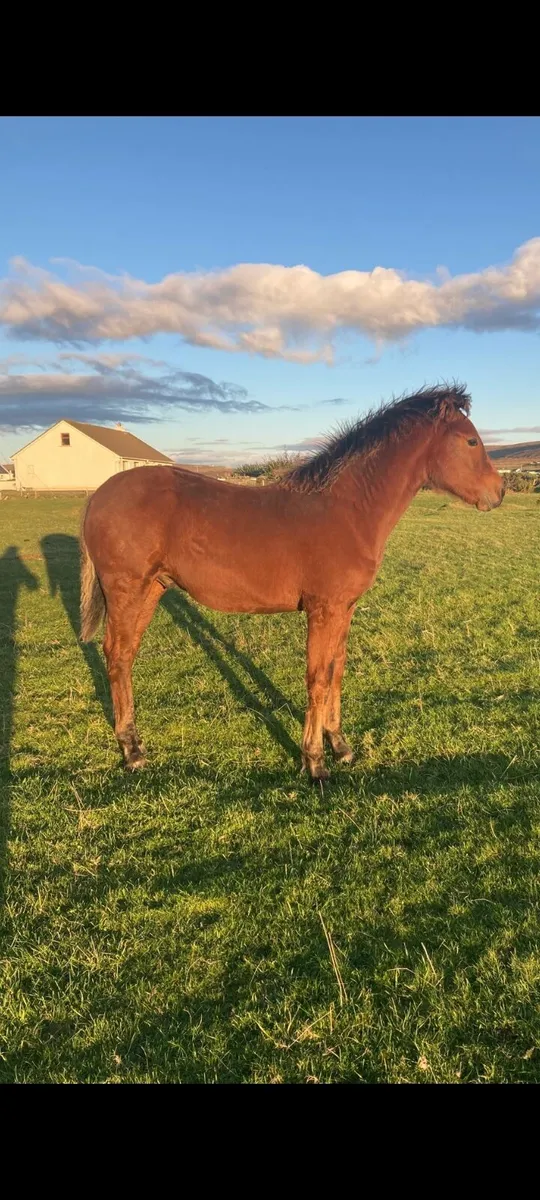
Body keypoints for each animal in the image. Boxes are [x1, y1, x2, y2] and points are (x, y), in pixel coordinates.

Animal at [80, 384, 504, 781]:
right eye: (471, 440)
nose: (498, 493)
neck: (347, 510)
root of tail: (98, 495)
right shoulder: (323, 609)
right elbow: (316, 678)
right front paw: (314, 761)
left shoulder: (345, 609)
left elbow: (336, 670)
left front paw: (339, 744)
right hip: (127, 589)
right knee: (117, 655)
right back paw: (131, 751)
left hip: (152, 589)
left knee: (125, 655)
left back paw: (133, 744)